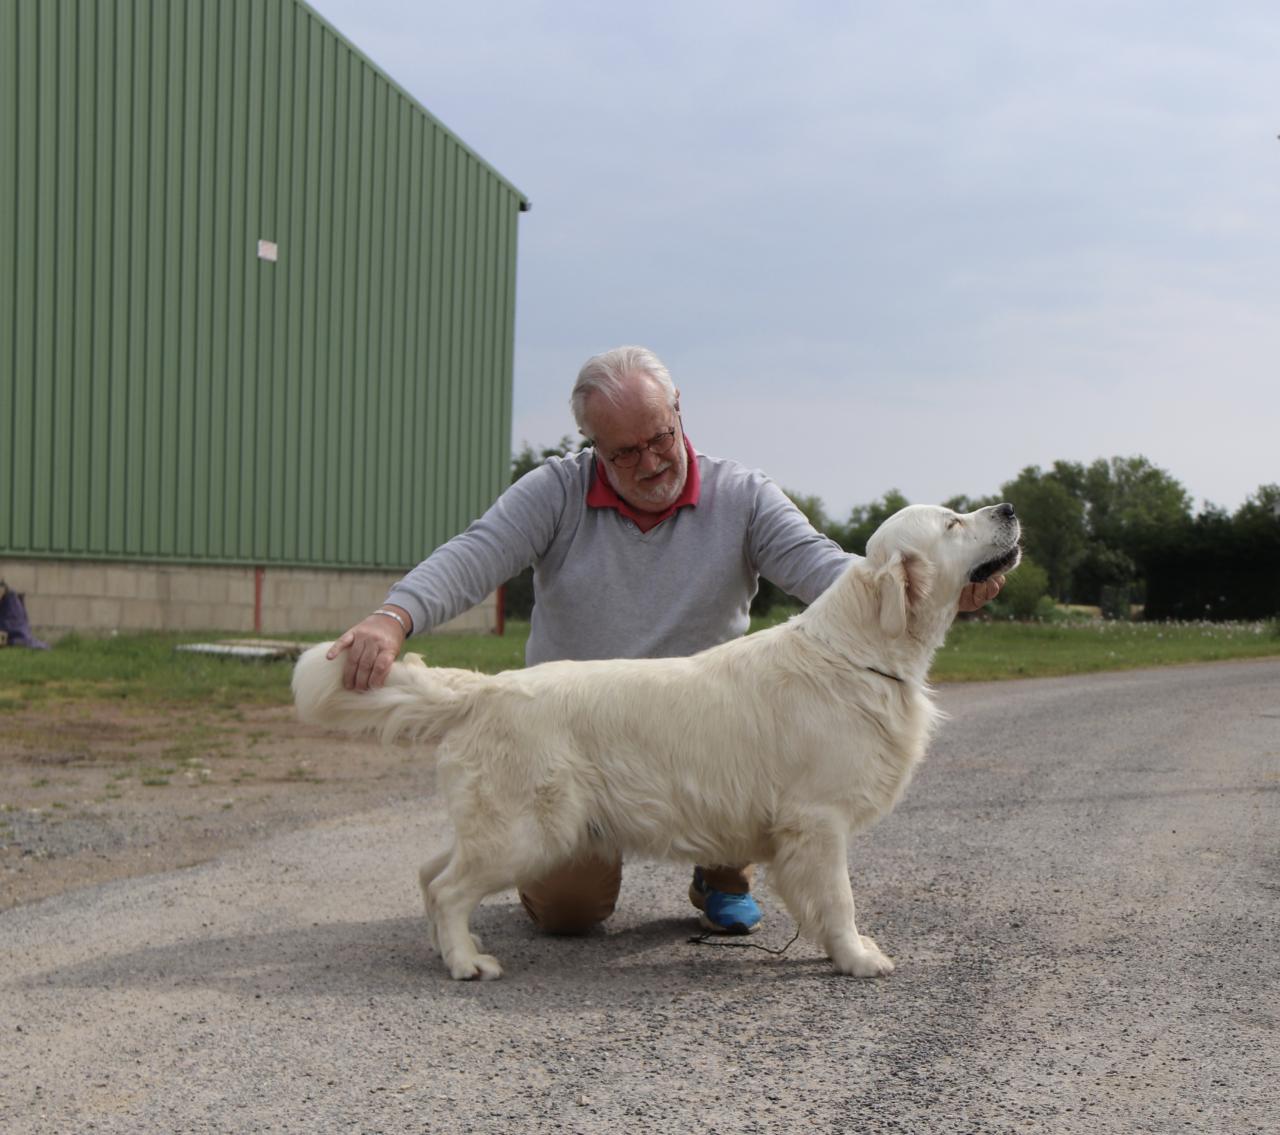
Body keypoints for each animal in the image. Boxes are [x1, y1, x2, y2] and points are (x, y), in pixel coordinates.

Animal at [293, 501, 1018, 982]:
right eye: (953, 523)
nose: (1008, 506)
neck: (862, 653)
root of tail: (487, 688)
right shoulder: (819, 820)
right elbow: (839, 899)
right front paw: (858, 956)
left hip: (503, 823)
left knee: (429, 871)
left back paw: (443, 949)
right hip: (530, 832)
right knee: (447, 886)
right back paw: (467, 961)